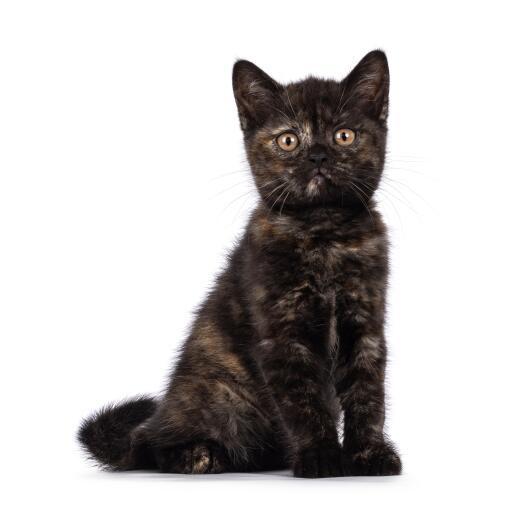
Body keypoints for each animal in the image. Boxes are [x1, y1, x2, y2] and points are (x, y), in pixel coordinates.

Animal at [79, 50, 400, 478]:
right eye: (288, 140)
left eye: (343, 135)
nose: (317, 155)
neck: (323, 233)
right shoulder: (281, 335)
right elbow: (304, 402)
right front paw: (321, 456)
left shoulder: (366, 325)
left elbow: (368, 395)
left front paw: (368, 455)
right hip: (222, 394)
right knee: (153, 448)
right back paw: (198, 454)